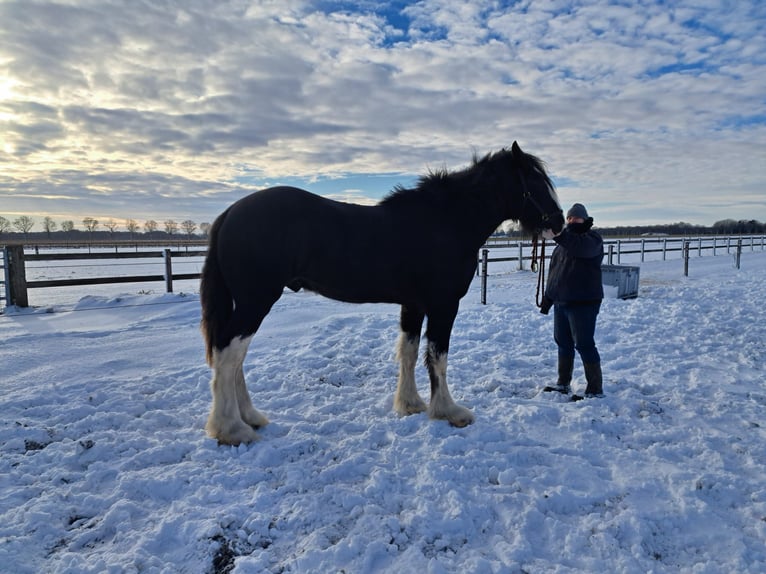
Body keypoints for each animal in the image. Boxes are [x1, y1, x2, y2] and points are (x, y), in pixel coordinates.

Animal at [200, 141, 564, 445]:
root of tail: (229, 214)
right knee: (229, 354)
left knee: (234, 356)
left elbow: (410, 351)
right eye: (534, 184)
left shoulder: (414, 305)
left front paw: (411, 404)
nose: (559, 223)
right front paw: (449, 411)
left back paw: (250, 417)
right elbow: (438, 357)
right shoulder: (444, 305)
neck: (446, 221)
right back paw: (232, 429)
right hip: (256, 301)